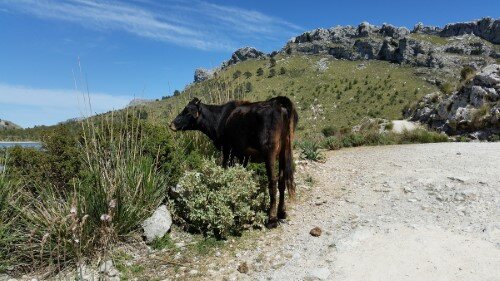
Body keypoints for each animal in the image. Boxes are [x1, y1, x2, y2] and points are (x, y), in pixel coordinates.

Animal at [170, 96, 298, 228]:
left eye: (188, 111)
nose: (171, 124)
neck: (219, 118)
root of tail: (278, 102)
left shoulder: (227, 151)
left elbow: (226, 170)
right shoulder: (243, 156)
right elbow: (242, 173)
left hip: (270, 152)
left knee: (273, 182)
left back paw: (272, 219)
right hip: (285, 151)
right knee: (282, 181)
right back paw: (281, 212)